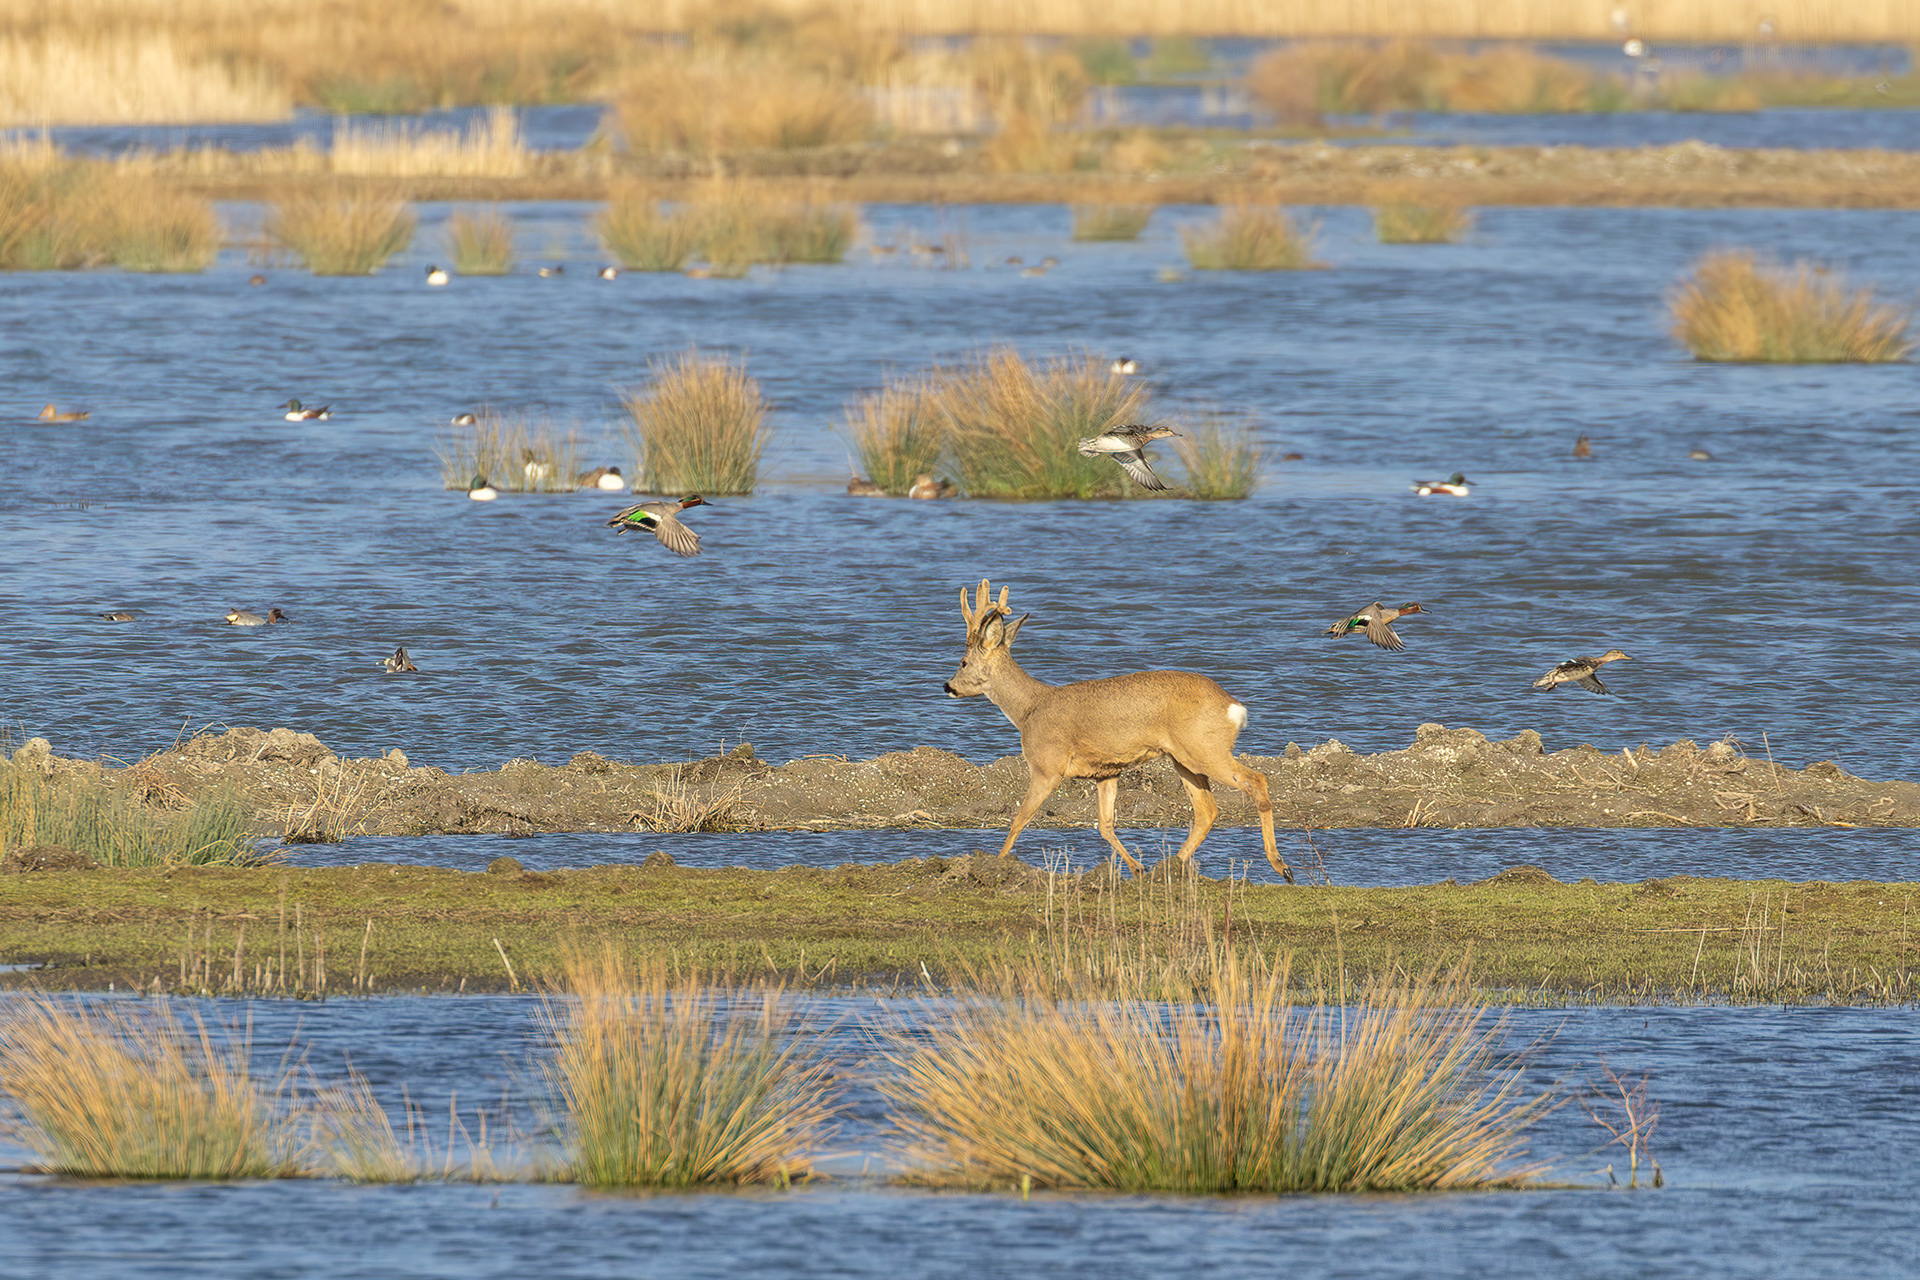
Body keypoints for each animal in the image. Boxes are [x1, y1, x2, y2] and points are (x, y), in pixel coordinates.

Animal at [943, 579, 1292, 883]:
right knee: (1207, 810)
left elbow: (1020, 818)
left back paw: (1281, 866)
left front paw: (997, 863)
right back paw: (1169, 868)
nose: (947, 686)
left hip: (1205, 749)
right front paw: (1137, 868)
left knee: (1255, 780)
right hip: (1184, 758)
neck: (1029, 709)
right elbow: (1105, 824)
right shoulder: (1106, 772)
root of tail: (1233, 706)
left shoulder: (1046, 765)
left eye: (962, 662)